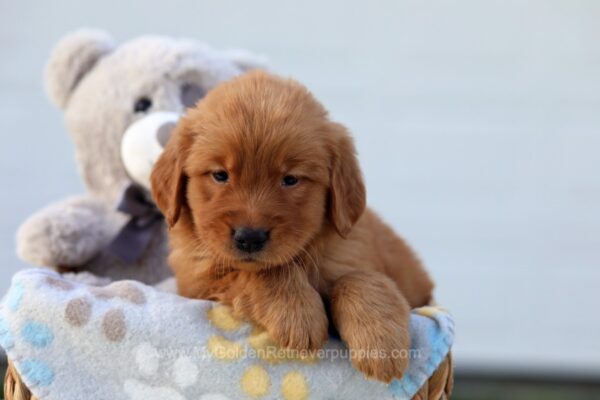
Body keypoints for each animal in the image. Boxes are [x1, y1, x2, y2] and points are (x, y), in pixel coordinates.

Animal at [149, 70, 432, 382]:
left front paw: (381, 345)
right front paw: (298, 314)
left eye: (291, 179)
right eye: (220, 175)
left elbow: (358, 279)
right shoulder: (197, 281)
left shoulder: (351, 252)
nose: (250, 238)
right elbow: (265, 271)